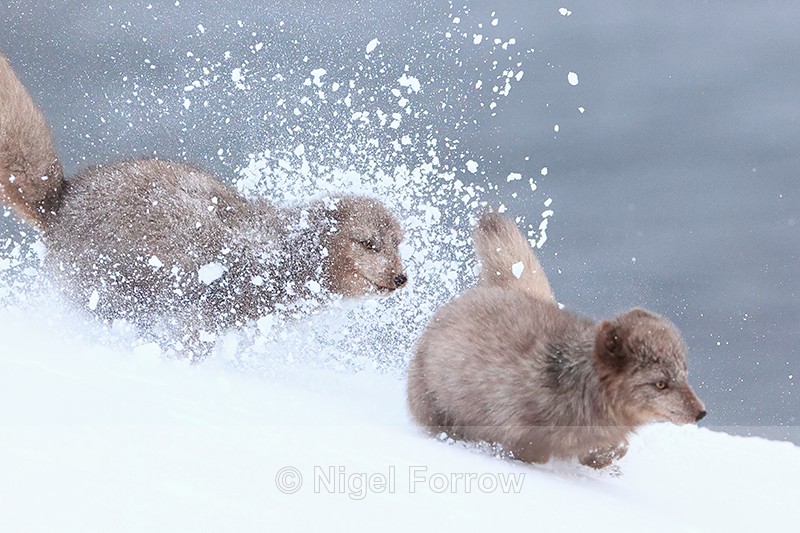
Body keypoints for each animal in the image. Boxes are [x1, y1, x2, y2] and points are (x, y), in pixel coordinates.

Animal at [0, 51, 407, 356]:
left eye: (399, 244)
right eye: (369, 244)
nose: (401, 277)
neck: (280, 253)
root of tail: (63, 198)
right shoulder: (207, 313)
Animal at [407, 212, 706, 469]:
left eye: (684, 375)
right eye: (661, 384)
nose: (701, 413)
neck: (573, 382)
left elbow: (614, 449)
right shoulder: (522, 439)